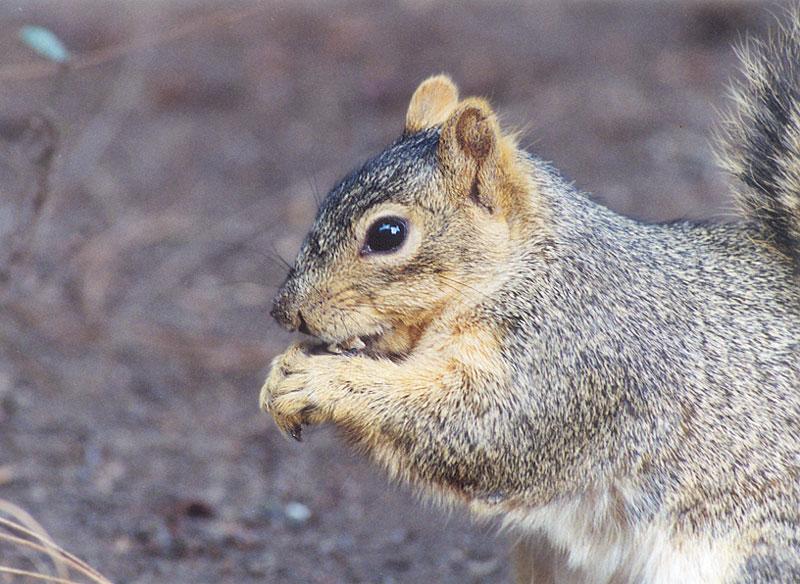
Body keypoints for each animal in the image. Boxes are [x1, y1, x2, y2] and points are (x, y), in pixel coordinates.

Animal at [262, 12, 800, 584]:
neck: (522, 268)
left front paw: (321, 379)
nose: (284, 312)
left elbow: (481, 427)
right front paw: (281, 373)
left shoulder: (574, 361)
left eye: (387, 234)